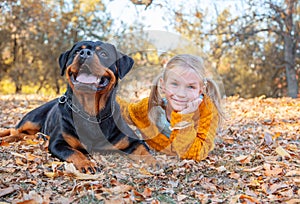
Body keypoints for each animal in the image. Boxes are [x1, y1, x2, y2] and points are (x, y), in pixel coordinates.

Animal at [0, 40, 152, 173]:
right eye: (77, 51)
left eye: (103, 53)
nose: (85, 53)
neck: (90, 111)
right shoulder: (58, 143)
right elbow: (74, 152)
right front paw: (86, 163)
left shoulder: (132, 140)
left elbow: (145, 151)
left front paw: (156, 163)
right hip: (31, 120)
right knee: (13, 131)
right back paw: (6, 139)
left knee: (24, 135)